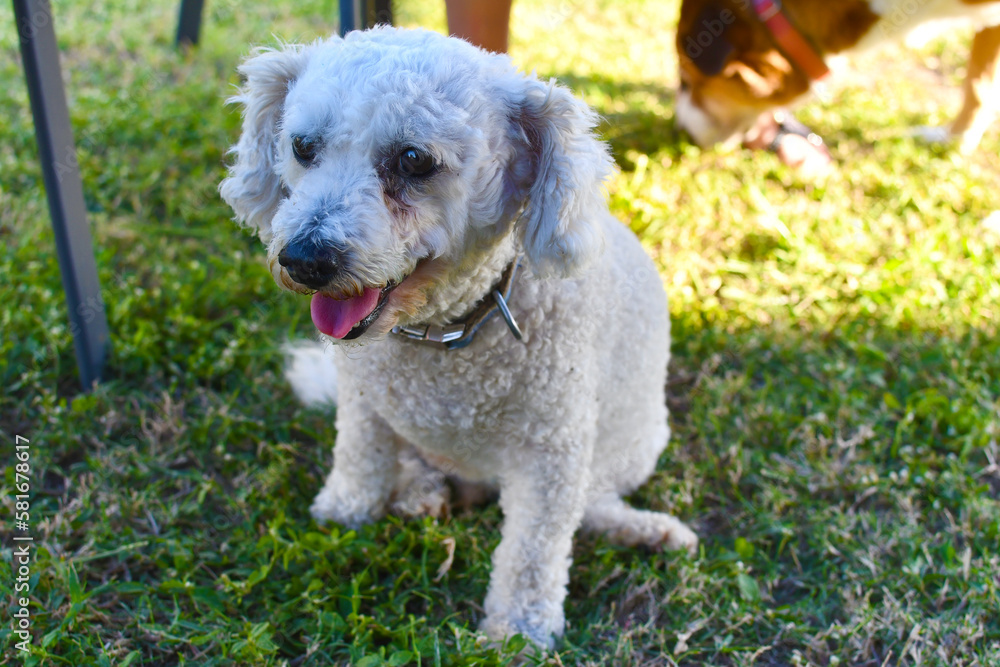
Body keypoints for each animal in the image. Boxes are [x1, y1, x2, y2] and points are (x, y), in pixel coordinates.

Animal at [223, 28, 700, 648]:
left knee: (592, 505)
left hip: (631, 447)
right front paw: (346, 509)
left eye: (413, 159)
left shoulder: (553, 453)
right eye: (302, 146)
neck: (442, 333)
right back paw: (420, 492)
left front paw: (519, 632)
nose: (304, 260)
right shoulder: (363, 402)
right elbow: (360, 457)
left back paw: (645, 530)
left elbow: (534, 550)